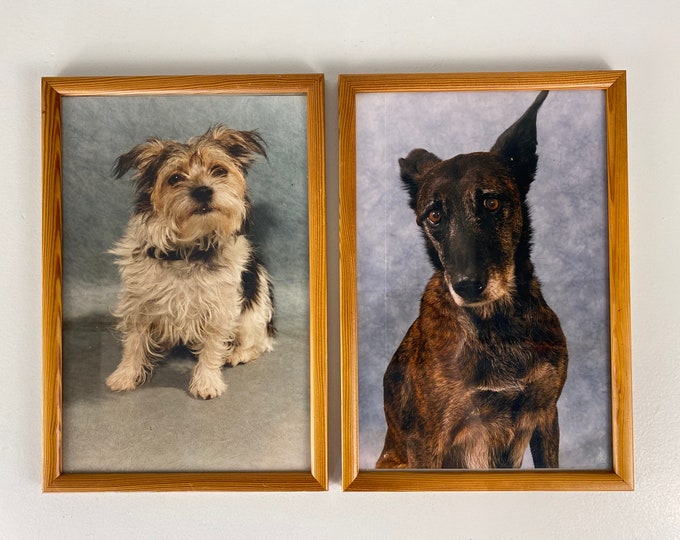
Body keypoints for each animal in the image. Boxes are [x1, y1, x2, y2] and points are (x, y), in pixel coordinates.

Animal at [105, 124, 274, 398]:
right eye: (175, 178)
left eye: (219, 170)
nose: (203, 190)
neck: (187, 250)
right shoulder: (138, 302)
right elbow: (134, 341)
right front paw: (125, 375)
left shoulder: (220, 308)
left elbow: (213, 346)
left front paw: (207, 382)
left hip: (254, 314)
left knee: (259, 343)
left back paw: (238, 353)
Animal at [378, 93, 568, 468]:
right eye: (434, 215)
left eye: (491, 202)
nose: (466, 285)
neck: (498, 324)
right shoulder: (428, 443)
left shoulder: (546, 415)